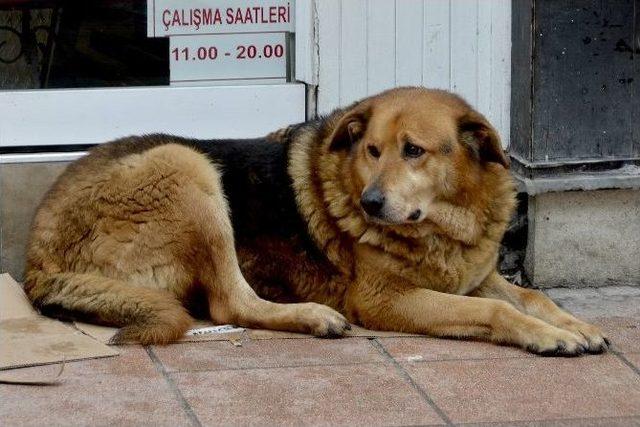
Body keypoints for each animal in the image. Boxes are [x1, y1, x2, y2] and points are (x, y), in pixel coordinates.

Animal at [25, 87, 608, 354]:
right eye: (372, 150)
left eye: (413, 151)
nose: (370, 204)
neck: (450, 221)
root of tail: (37, 254)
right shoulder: (384, 299)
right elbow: (497, 312)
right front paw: (547, 336)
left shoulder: (476, 277)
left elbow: (532, 297)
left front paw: (575, 325)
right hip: (186, 167)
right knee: (230, 302)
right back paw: (313, 317)